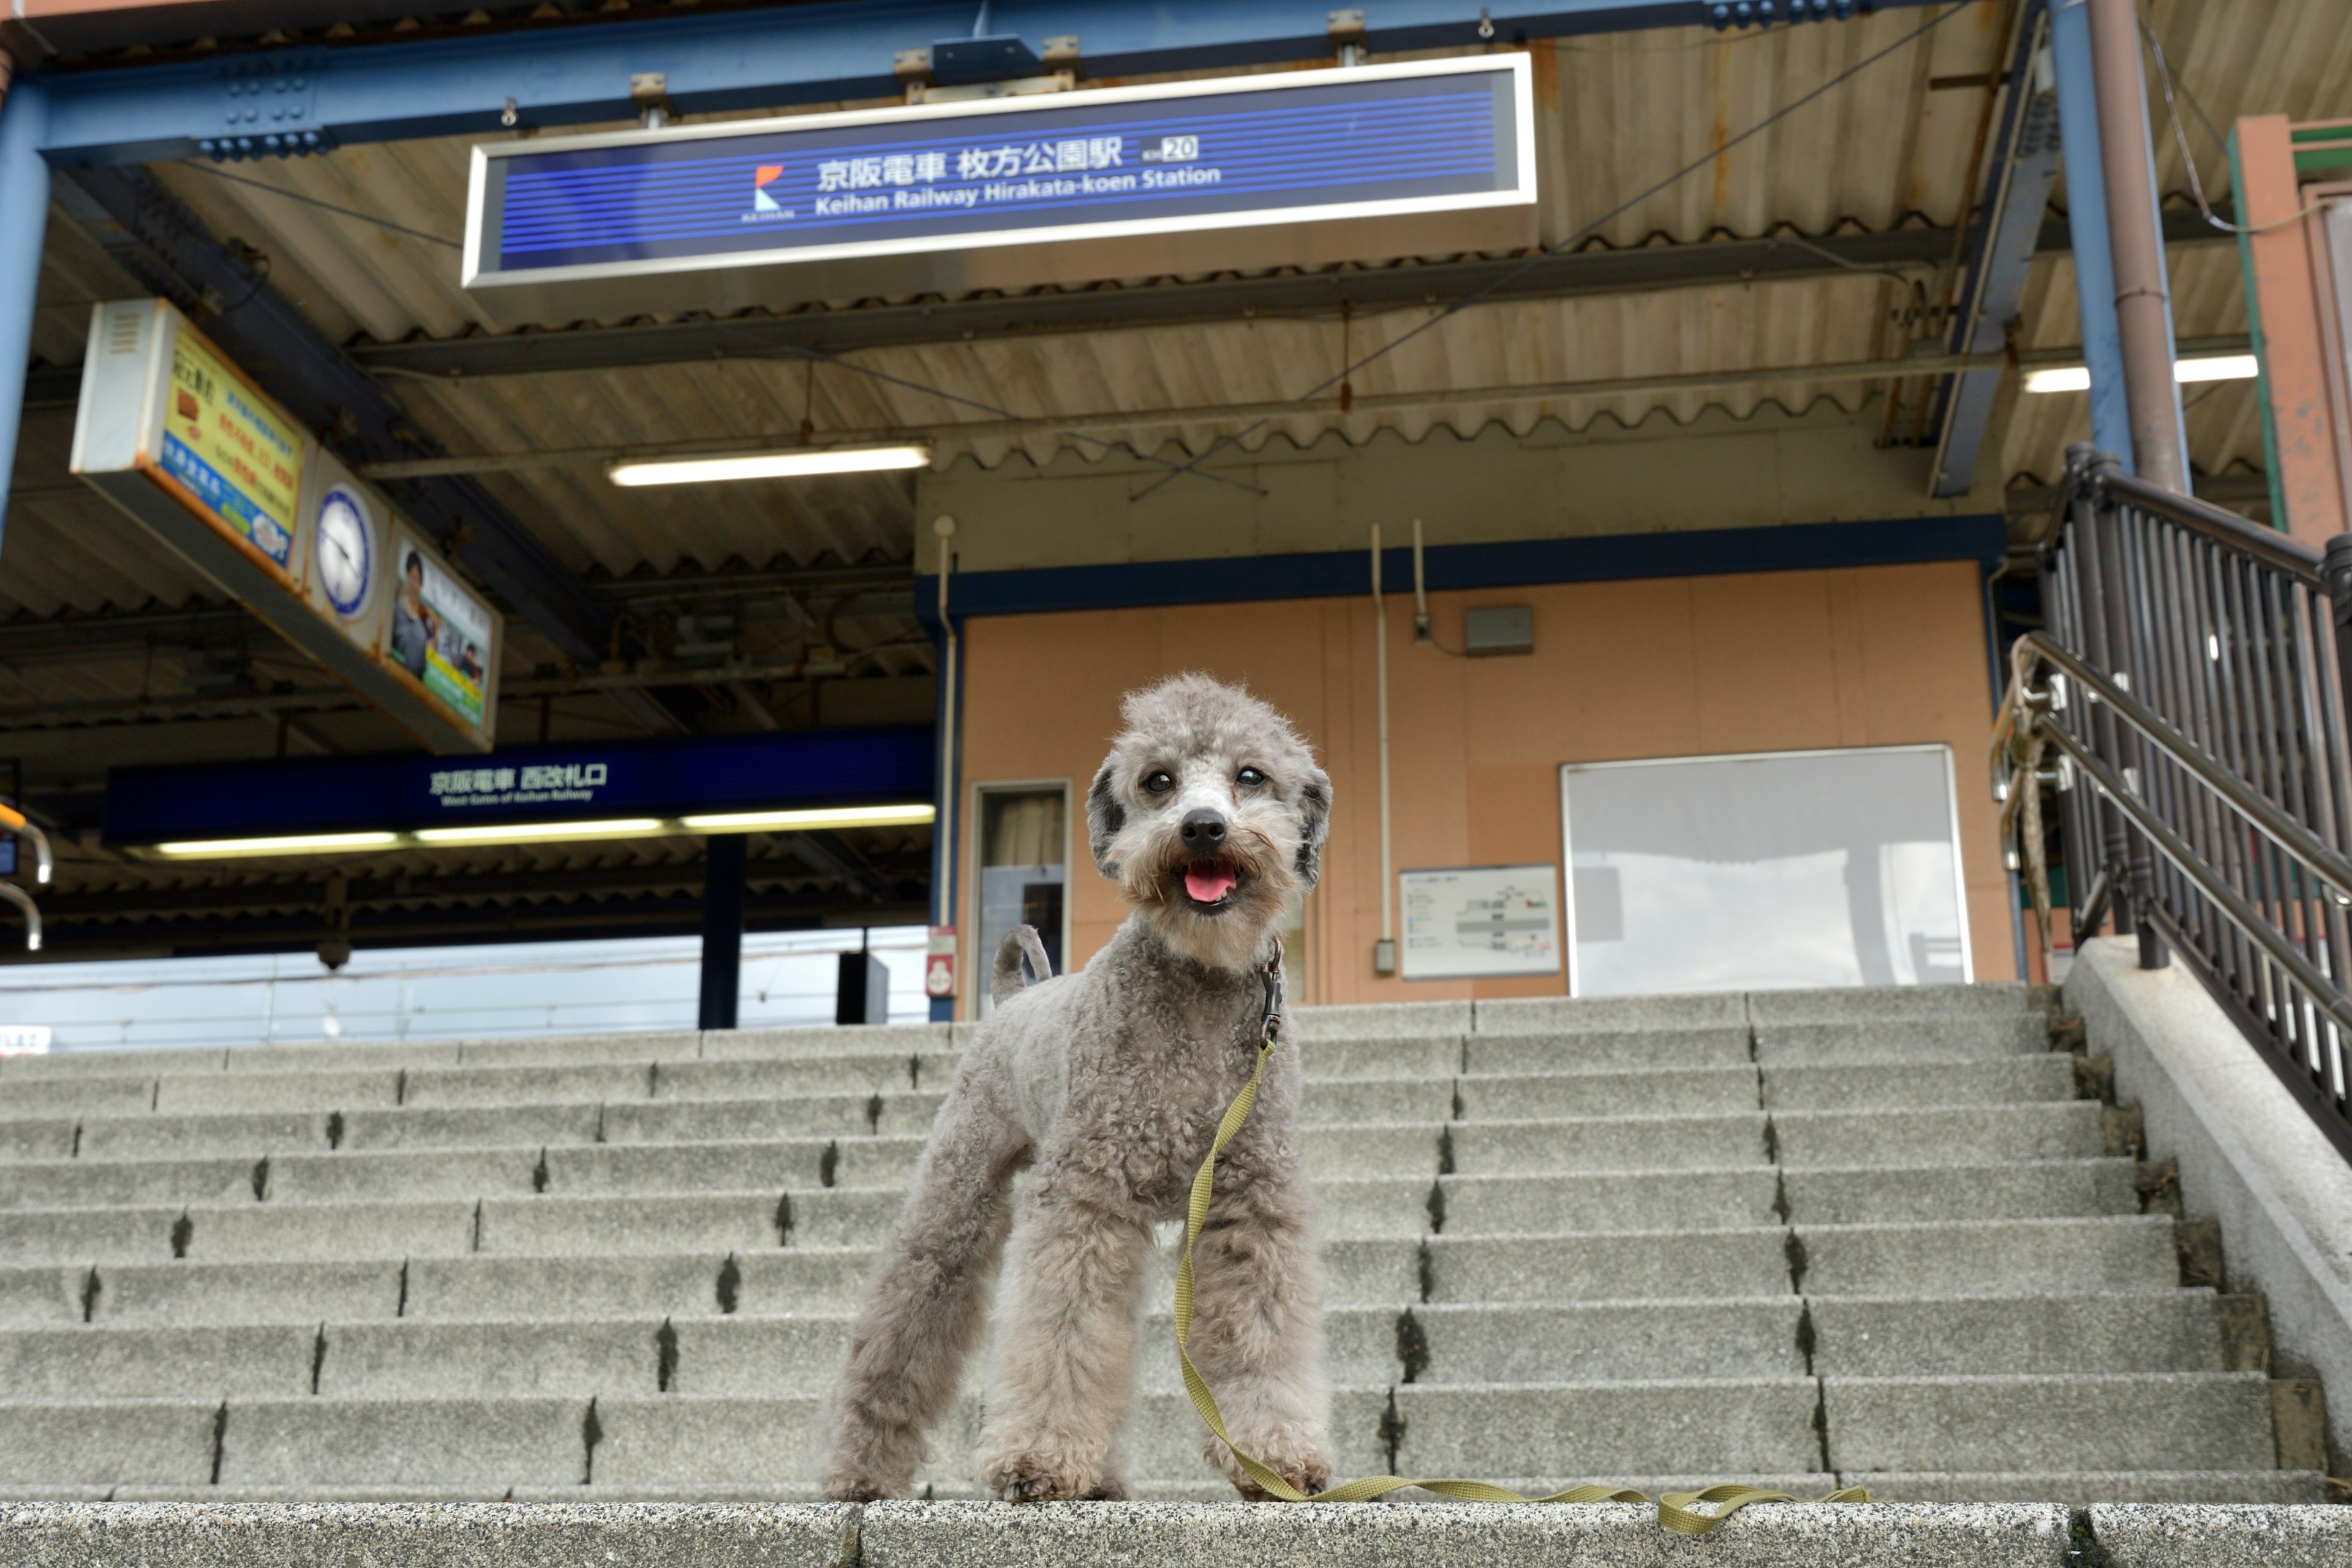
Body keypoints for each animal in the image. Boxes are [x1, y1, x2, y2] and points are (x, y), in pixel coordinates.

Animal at [823, 677, 1345, 1504]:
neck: (1199, 984)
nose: (1203, 827)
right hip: (957, 1187)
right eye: (1157, 780)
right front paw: (1040, 1456)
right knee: (907, 1314)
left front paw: (1277, 1454)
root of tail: (1014, 997)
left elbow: (1261, 1331)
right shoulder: (1086, 1197)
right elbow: (1063, 1331)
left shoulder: (1250, 1200)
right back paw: (860, 1470)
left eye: (1251, 776)